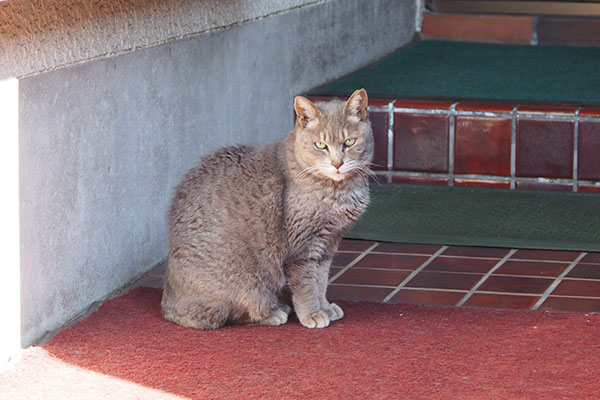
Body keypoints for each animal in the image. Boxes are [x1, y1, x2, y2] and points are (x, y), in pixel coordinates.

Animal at [162, 89, 372, 330]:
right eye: (320, 145)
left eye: (350, 142)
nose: (337, 163)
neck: (338, 191)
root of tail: (168, 303)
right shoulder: (303, 249)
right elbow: (307, 286)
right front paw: (312, 313)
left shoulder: (328, 243)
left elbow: (321, 281)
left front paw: (325, 306)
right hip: (247, 280)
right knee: (228, 312)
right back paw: (274, 312)